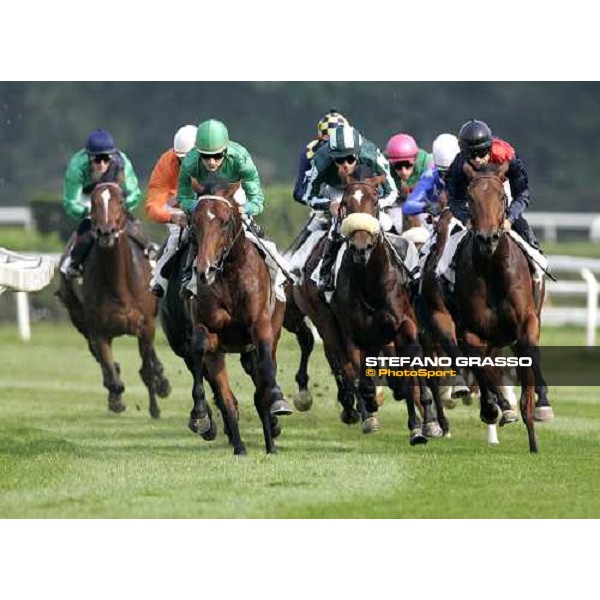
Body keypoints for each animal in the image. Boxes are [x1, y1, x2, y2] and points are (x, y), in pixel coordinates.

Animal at [57, 182, 170, 418]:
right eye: (93, 202)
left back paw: (162, 381)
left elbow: (147, 369)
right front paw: (116, 399)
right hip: (79, 319)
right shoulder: (98, 330)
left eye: (120, 200)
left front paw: (154, 407)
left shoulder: (146, 324)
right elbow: (110, 373)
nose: (105, 232)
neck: (119, 286)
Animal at [159, 173, 290, 454]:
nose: (204, 270)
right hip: (184, 344)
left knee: (259, 375)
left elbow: (266, 366)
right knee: (221, 392)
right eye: (194, 222)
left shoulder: (260, 324)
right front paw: (200, 416)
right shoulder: (207, 331)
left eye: (225, 221)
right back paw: (236, 444)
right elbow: (203, 353)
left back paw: (270, 439)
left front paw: (277, 400)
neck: (229, 273)